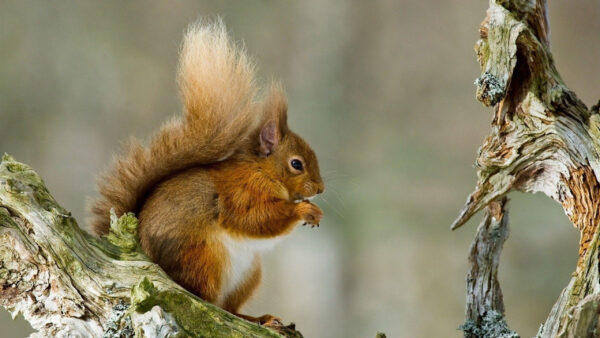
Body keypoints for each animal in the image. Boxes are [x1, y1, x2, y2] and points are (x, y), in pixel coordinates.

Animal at [85, 20, 324, 324]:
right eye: (296, 164)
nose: (320, 189)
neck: (262, 170)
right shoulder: (241, 191)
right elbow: (255, 218)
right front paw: (305, 210)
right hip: (204, 258)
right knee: (206, 300)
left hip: (248, 273)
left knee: (228, 307)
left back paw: (258, 319)